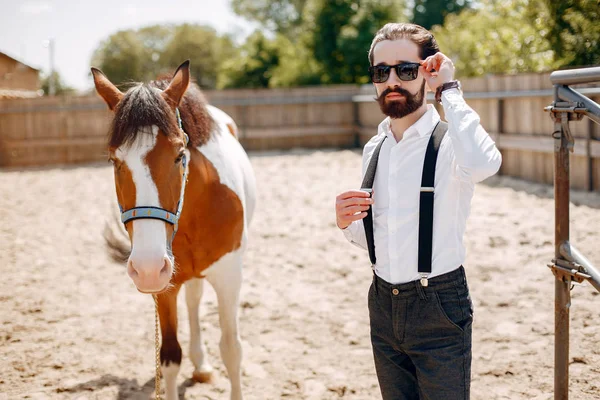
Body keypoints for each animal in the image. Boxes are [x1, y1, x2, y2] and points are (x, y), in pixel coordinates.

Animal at [91, 60, 255, 400]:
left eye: (180, 155)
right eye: (114, 160)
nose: (147, 267)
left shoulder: (230, 277)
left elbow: (232, 350)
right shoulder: (164, 287)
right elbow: (169, 357)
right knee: (193, 301)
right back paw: (201, 363)